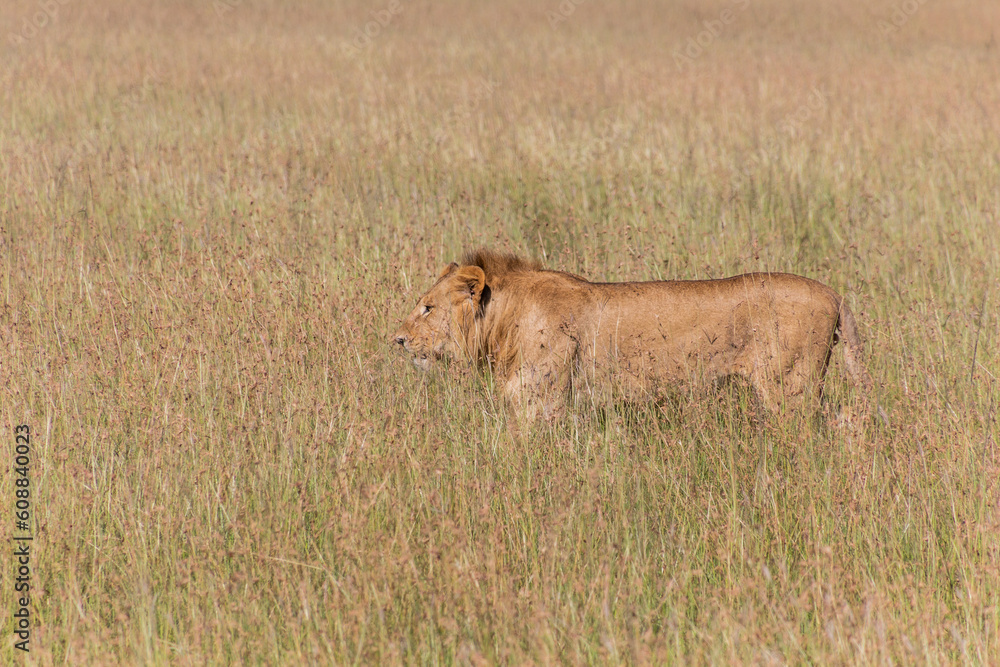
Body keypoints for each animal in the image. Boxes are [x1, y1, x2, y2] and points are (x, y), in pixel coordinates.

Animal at [392, 249, 871, 419]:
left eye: (427, 307)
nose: (397, 340)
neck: (503, 318)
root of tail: (834, 293)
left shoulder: (540, 395)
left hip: (790, 388)